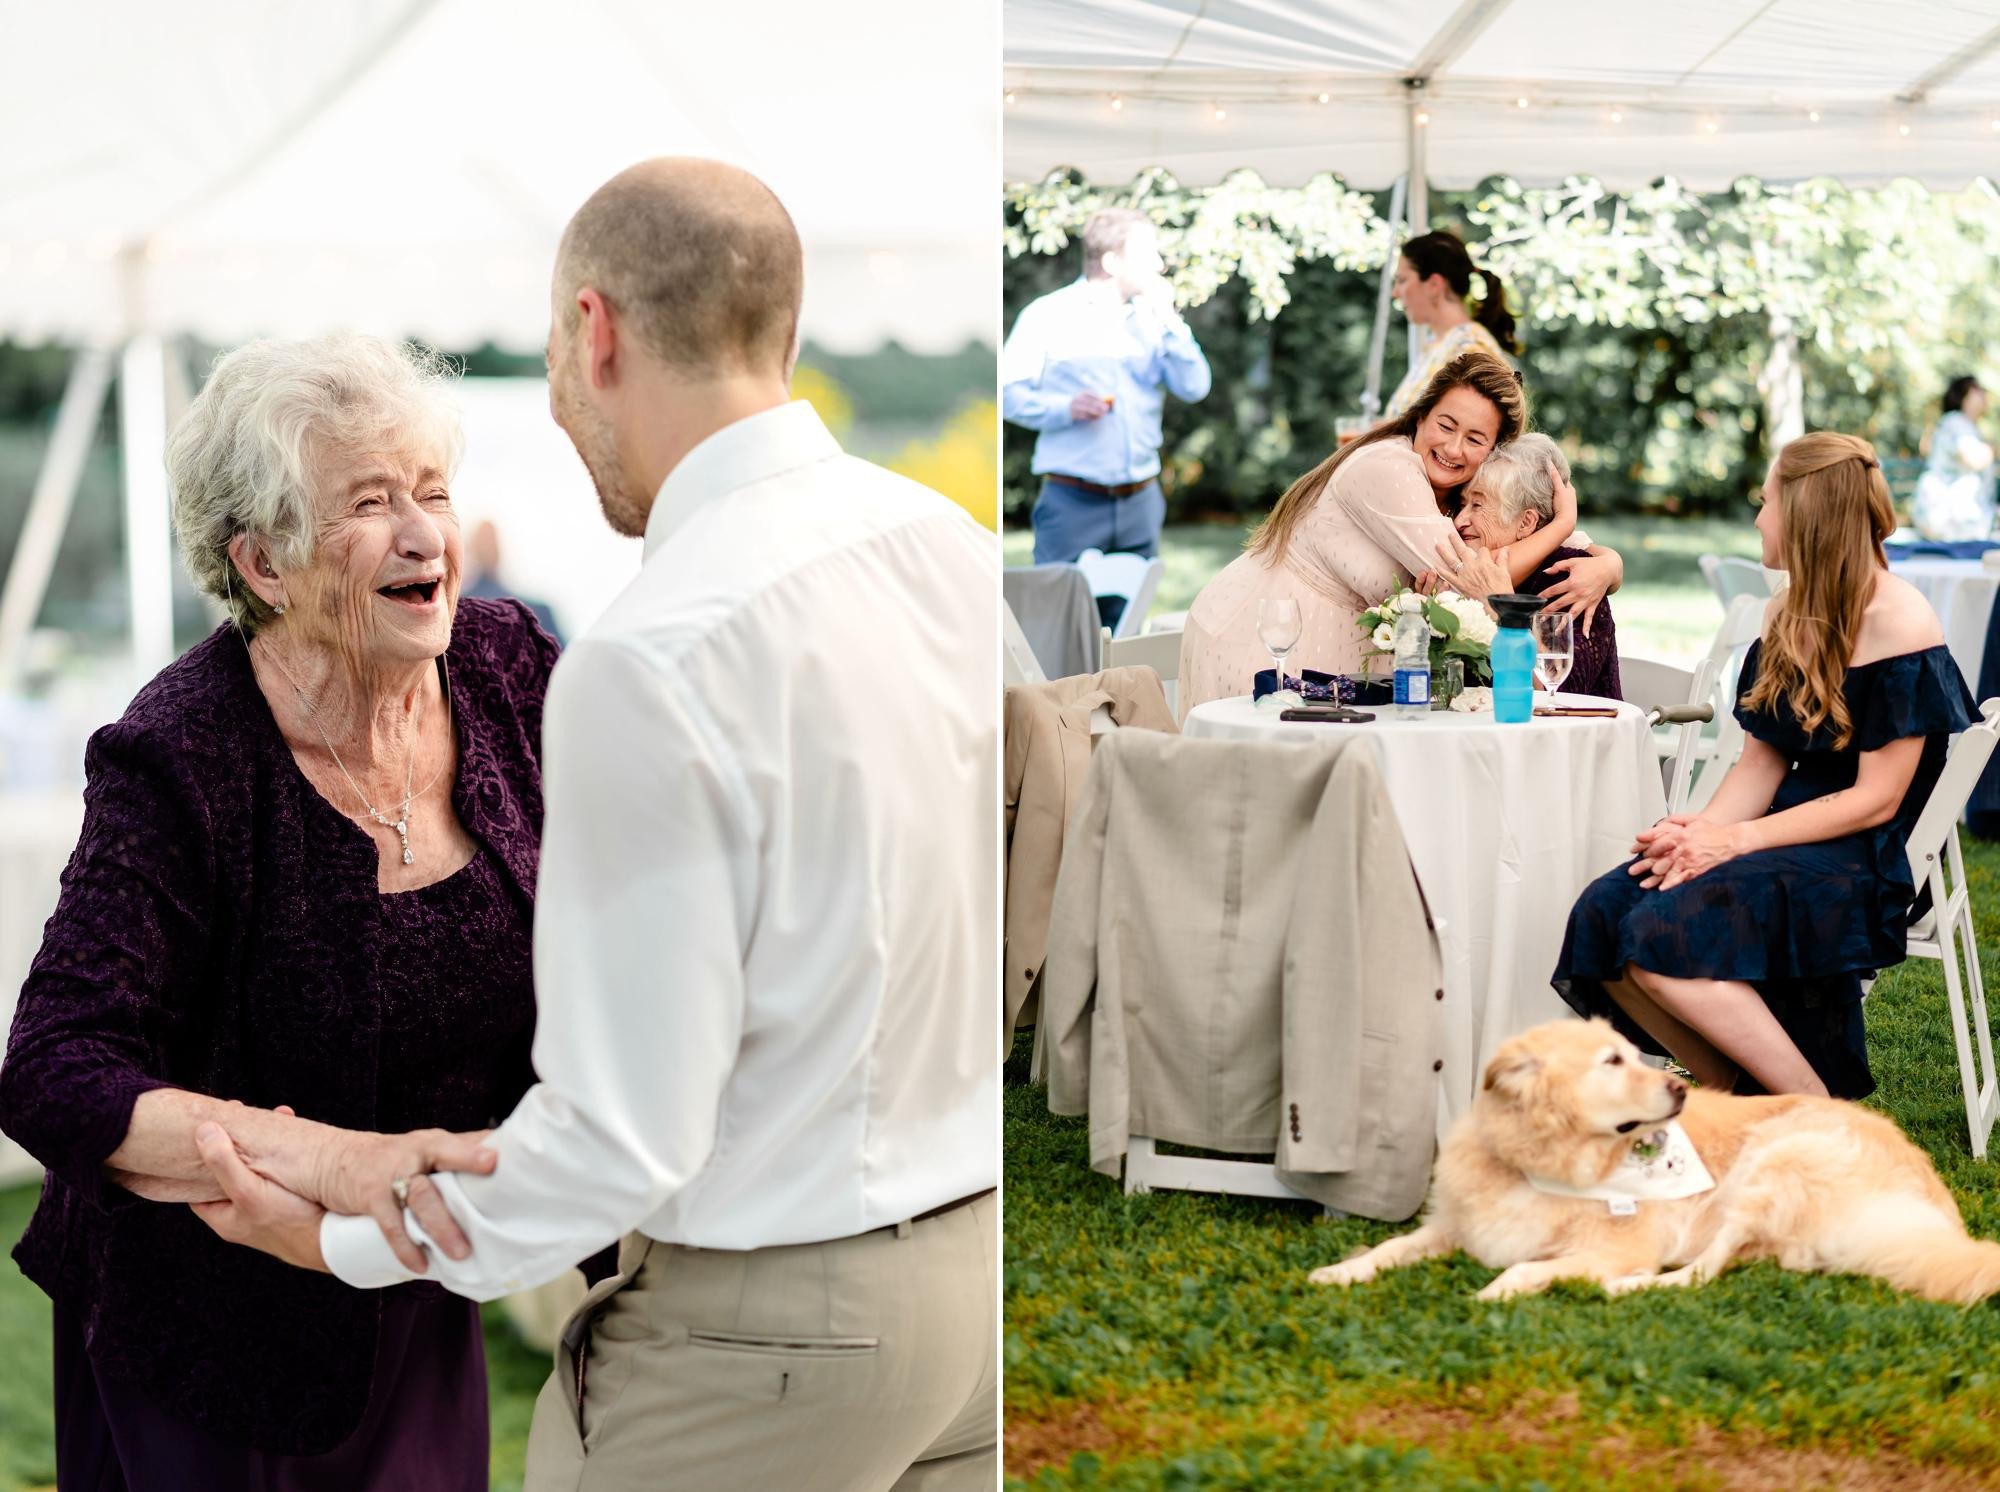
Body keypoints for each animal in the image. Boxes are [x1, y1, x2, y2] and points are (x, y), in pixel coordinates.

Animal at [1312, 1016, 2000, 1296]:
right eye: (1612, 1061)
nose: (1680, 1089)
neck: (1548, 1165)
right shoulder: (1454, 1225)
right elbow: (1392, 1246)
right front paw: (1338, 1272)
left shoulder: (1617, 1245)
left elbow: (1526, 1269)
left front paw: (1494, 1294)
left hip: (1780, 1157)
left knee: (1700, 1273)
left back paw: (1627, 1289)